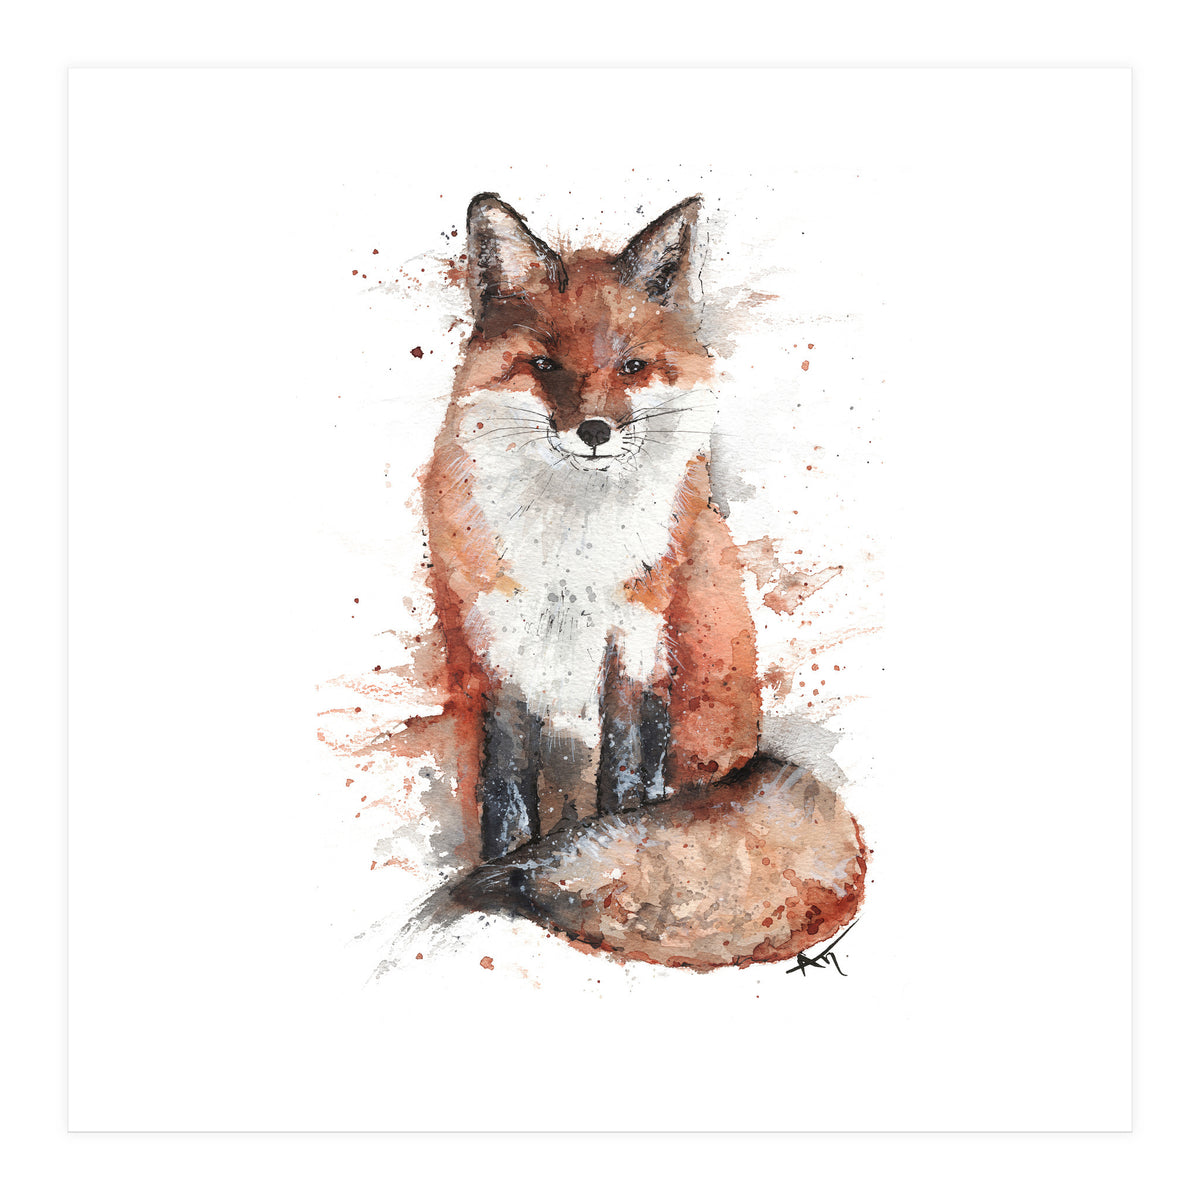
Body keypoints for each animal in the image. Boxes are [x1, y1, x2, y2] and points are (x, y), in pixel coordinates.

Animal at [413, 193, 866, 971]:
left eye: (630, 366)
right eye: (542, 364)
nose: (594, 430)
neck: (573, 551)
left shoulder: (641, 637)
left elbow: (628, 780)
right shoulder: (498, 650)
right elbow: (506, 786)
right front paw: (501, 864)